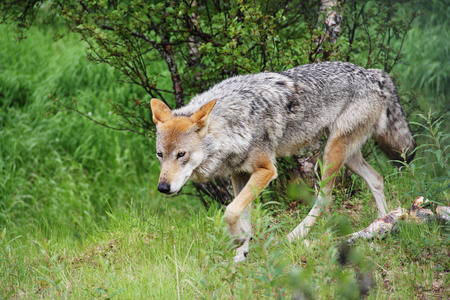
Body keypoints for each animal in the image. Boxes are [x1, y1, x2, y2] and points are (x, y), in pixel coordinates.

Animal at [150, 61, 414, 262]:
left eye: (181, 154)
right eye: (160, 155)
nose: (163, 188)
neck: (233, 124)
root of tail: (373, 74)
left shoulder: (266, 170)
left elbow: (231, 211)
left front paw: (238, 241)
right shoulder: (239, 174)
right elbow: (242, 215)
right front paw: (241, 254)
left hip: (330, 155)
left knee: (326, 198)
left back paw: (295, 236)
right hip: (347, 156)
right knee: (376, 179)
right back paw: (382, 223)